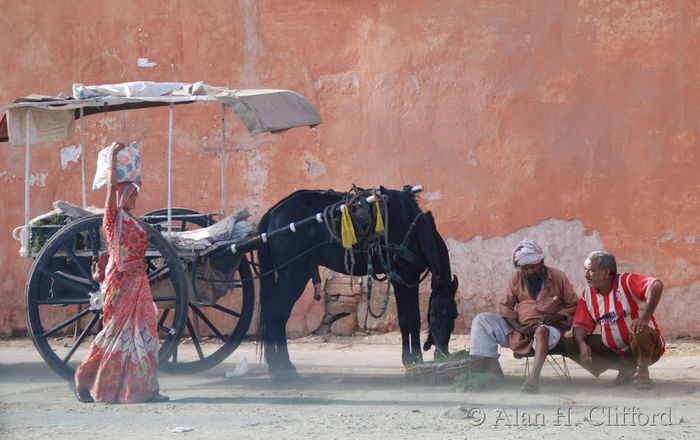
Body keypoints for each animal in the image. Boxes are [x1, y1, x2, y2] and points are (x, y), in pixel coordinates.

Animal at [258, 186, 460, 378]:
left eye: (454, 315)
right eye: (433, 314)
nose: (442, 353)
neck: (413, 227)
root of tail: (273, 213)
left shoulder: (409, 277)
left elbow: (414, 318)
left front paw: (414, 357)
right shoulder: (402, 276)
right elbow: (408, 318)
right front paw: (411, 358)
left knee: (279, 314)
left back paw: (281, 364)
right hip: (292, 274)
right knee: (275, 311)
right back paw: (279, 365)